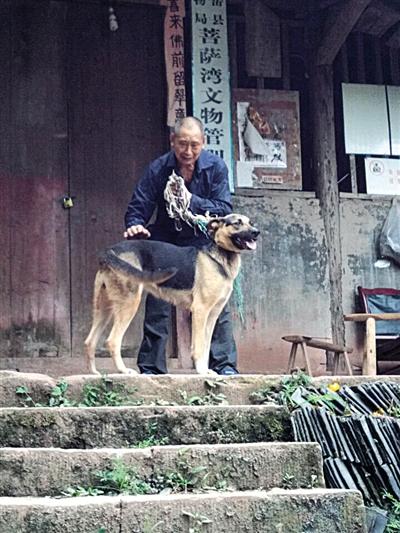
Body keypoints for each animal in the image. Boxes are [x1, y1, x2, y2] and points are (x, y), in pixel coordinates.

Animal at [84, 212, 260, 374]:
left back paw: (94, 373)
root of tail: (110, 251)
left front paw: (205, 371)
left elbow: (206, 345)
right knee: (112, 341)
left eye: (250, 223)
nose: (256, 232)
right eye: (237, 223)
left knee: (89, 341)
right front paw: (202, 372)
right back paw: (123, 371)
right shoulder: (200, 310)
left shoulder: (213, 315)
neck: (220, 256)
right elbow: (198, 347)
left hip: (104, 308)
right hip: (129, 303)